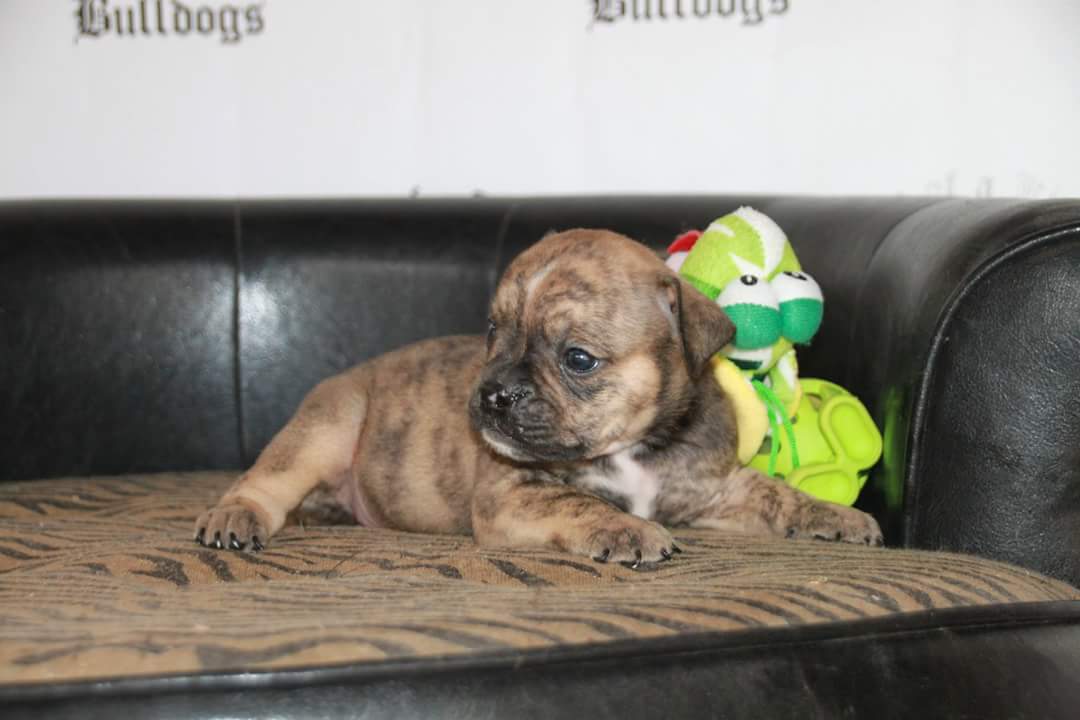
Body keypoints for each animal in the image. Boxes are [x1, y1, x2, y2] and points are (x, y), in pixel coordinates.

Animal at [195, 229, 882, 565]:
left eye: (577, 359)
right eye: (492, 331)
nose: (492, 394)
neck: (631, 445)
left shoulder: (715, 488)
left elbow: (778, 494)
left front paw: (836, 514)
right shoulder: (513, 495)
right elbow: (580, 505)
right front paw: (627, 530)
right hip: (328, 425)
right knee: (265, 482)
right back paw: (236, 517)